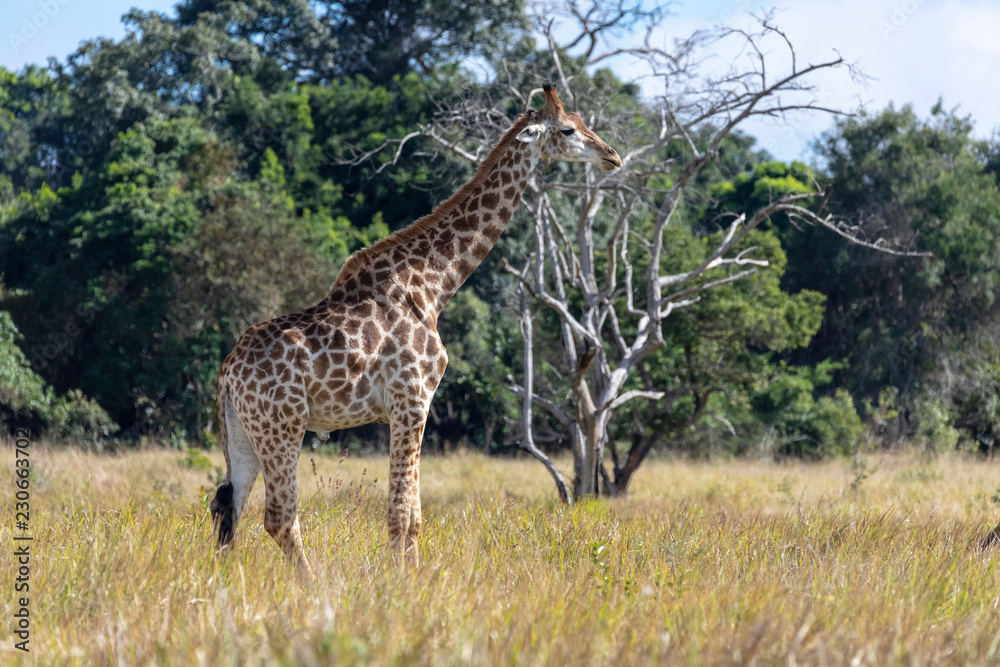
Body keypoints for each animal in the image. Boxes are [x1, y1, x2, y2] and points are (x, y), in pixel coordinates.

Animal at [209, 84, 621, 573]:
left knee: (227, 506)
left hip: (243, 430)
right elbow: (402, 514)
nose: (613, 156)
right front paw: (402, 582)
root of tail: (228, 372)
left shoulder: (411, 406)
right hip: (283, 426)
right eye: (567, 130)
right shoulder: (412, 401)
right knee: (278, 517)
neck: (434, 285)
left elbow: (414, 516)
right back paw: (314, 583)